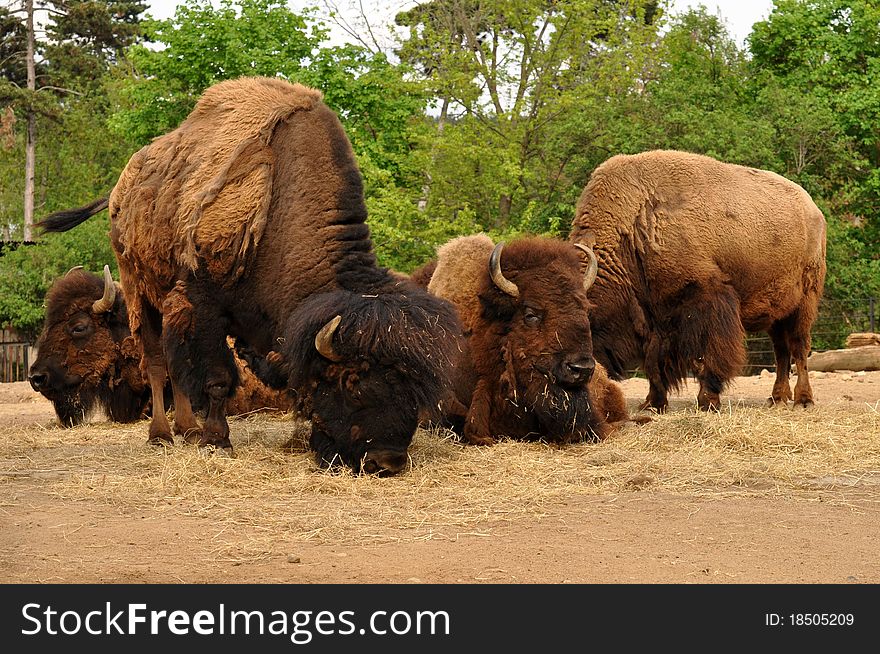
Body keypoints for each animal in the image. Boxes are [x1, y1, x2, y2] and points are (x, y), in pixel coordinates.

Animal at [572, 151, 824, 412]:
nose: (579, 370)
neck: (637, 225)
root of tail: (814, 210)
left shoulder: (706, 301)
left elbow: (705, 355)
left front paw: (708, 401)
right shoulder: (653, 317)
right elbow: (653, 361)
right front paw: (653, 403)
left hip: (804, 302)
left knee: (799, 347)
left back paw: (803, 399)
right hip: (776, 312)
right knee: (781, 350)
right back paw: (777, 398)